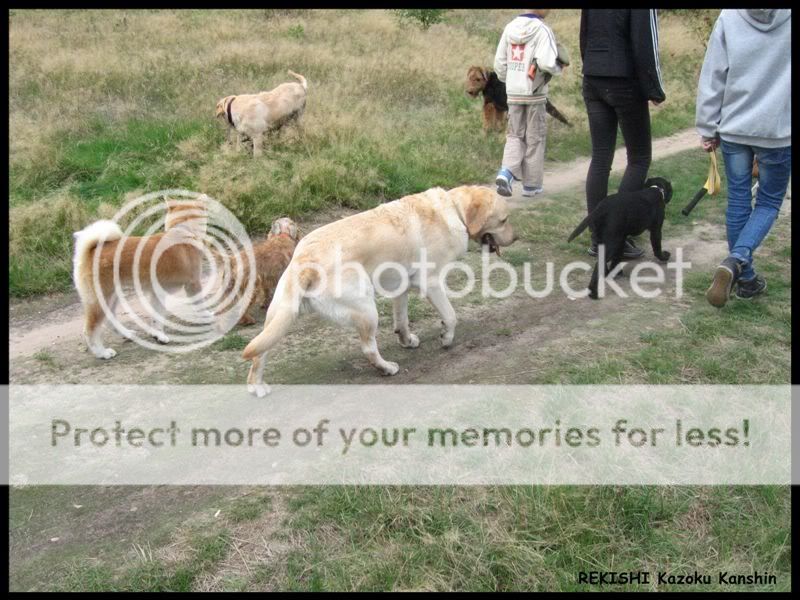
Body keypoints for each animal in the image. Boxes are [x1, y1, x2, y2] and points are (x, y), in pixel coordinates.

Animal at [73, 197, 208, 358]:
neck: (183, 231)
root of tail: (91, 252)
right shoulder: (193, 284)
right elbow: (200, 305)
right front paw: (207, 316)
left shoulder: (157, 293)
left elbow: (156, 318)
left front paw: (158, 335)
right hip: (100, 300)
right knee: (90, 330)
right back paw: (102, 353)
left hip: (112, 296)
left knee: (110, 320)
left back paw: (127, 334)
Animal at [240, 185, 517, 396]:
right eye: (504, 220)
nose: (516, 238)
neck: (454, 210)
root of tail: (305, 259)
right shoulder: (432, 283)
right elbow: (450, 316)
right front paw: (446, 338)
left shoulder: (402, 287)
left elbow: (401, 320)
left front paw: (406, 340)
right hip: (367, 310)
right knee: (368, 348)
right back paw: (387, 368)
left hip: (278, 315)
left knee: (259, 353)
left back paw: (256, 386)